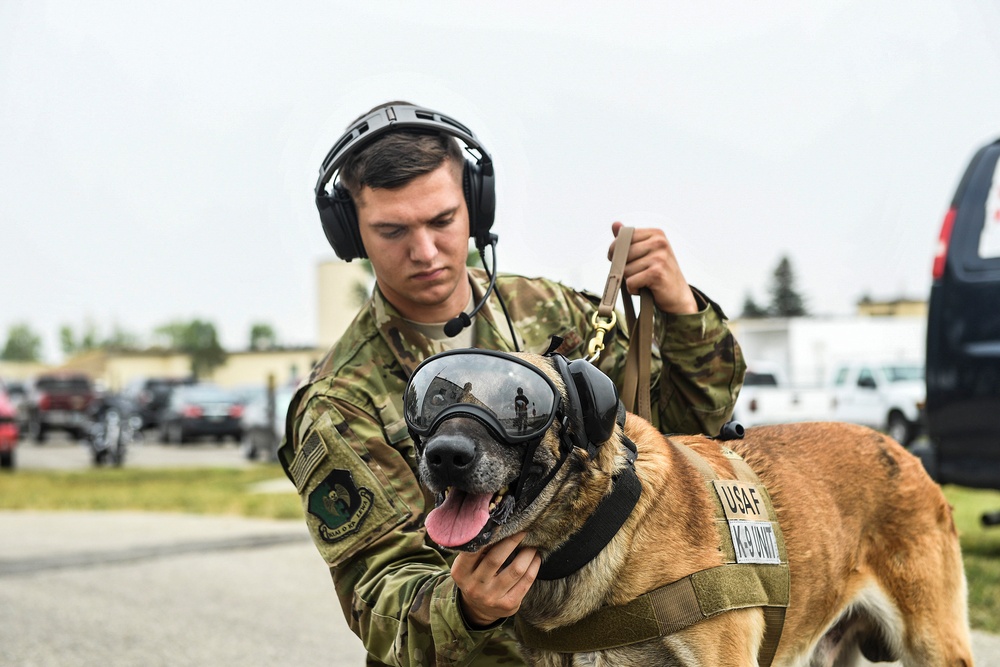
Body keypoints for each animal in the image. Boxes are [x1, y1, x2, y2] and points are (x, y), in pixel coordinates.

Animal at [402, 352, 972, 664]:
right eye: (429, 401)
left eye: (520, 402)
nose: (444, 456)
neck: (605, 529)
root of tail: (907, 453)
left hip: (933, 645)